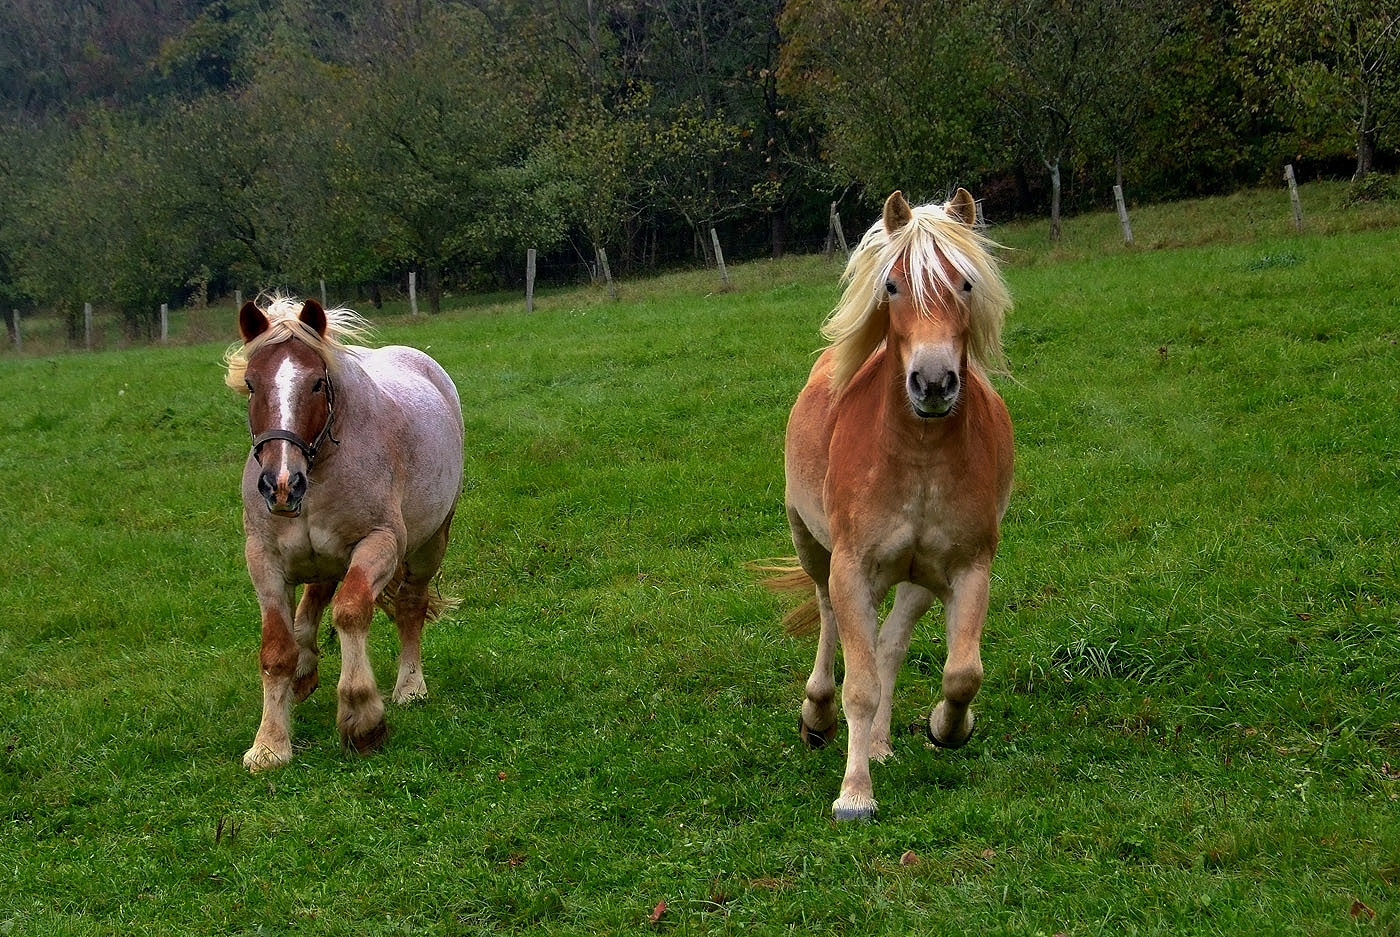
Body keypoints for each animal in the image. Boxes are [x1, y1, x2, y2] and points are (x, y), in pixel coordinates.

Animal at [224, 295, 464, 773]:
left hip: (429, 545)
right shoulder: (264, 560)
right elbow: (276, 649)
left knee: (410, 605)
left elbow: (351, 611)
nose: (280, 484)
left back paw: (410, 687)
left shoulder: (379, 544)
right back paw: (304, 673)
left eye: (318, 384)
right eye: (252, 385)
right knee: (312, 604)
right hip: (321, 557)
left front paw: (362, 717)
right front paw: (269, 744)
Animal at [767, 190, 1019, 817]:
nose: (932, 382)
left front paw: (946, 729)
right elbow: (858, 687)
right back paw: (817, 718)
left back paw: (880, 742)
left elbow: (961, 673)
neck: (919, 458)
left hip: (917, 579)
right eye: (893, 286)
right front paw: (854, 794)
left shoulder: (968, 569)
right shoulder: (852, 568)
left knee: (890, 645)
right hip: (814, 551)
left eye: (967, 283)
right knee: (830, 622)